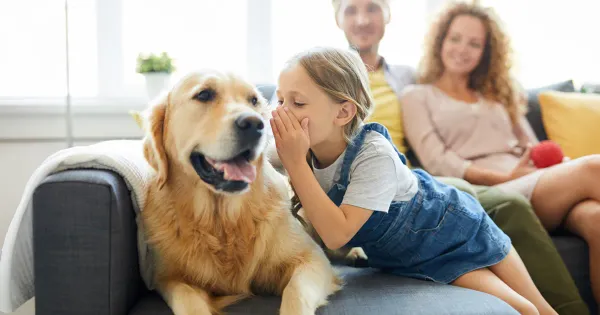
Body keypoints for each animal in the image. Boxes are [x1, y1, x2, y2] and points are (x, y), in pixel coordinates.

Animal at [138, 69, 340, 315]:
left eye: (253, 100)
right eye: (204, 94)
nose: (255, 124)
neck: (222, 220)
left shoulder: (312, 258)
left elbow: (295, 292)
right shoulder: (170, 279)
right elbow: (188, 301)